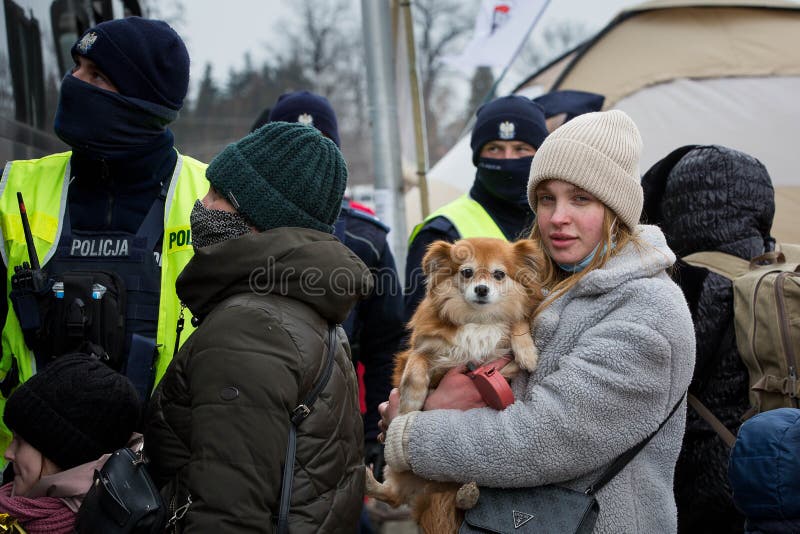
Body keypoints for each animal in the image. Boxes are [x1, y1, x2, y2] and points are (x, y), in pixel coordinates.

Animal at [368, 239, 544, 534]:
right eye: (467, 272)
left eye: (499, 274)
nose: (481, 289)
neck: (478, 319)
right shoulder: (420, 352)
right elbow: (415, 369)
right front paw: (409, 404)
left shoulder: (499, 360)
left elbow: (517, 323)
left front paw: (527, 352)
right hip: (398, 467)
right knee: (392, 495)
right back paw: (364, 478)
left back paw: (467, 493)